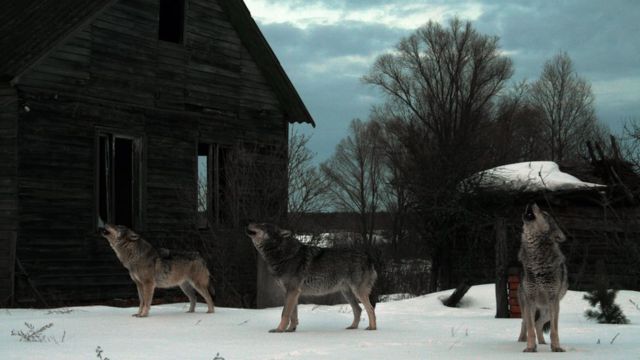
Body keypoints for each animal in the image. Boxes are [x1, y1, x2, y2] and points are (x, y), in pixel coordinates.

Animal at [244, 222, 376, 332]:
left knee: (370, 309)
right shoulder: (293, 293)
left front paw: (279, 330)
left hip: (358, 292)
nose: (248, 223)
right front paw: (290, 330)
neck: (283, 254)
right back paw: (352, 327)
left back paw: (372, 328)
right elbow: (293, 315)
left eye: (263, 225)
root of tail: (368, 257)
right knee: (358, 309)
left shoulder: (292, 291)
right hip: (347, 293)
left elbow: (285, 313)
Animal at [516, 204, 568, 352]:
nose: (531, 203)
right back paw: (521, 341)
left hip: (549, 310)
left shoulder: (553, 300)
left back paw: (543, 343)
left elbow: (554, 330)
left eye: (545, 214)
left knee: (538, 324)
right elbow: (530, 329)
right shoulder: (530, 300)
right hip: (526, 306)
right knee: (525, 323)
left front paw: (556, 348)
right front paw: (530, 348)